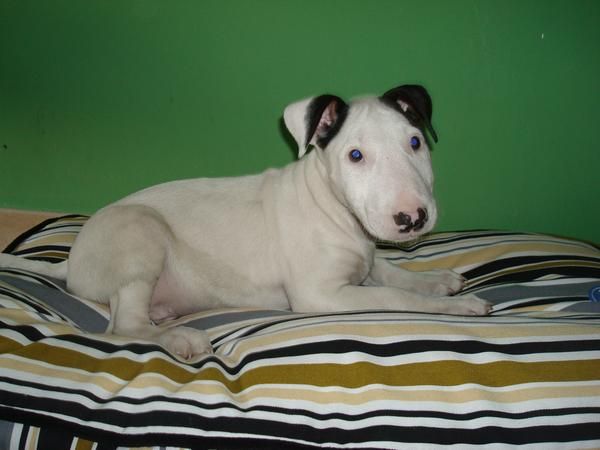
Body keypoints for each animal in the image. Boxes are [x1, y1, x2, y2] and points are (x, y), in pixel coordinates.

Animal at [1, 84, 492, 360]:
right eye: (355, 156)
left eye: (416, 143)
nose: (412, 218)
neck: (335, 210)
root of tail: (72, 260)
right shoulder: (321, 295)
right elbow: (394, 296)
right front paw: (458, 306)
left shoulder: (365, 261)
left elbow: (390, 273)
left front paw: (437, 279)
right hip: (142, 233)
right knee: (124, 326)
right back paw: (180, 339)